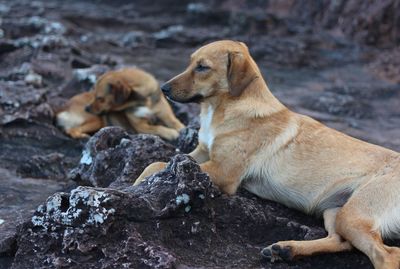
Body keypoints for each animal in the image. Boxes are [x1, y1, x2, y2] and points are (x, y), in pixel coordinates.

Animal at [56, 67, 184, 139]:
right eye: (94, 95)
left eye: (100, 98)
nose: (86, 108)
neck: (142, 102)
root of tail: (63, 109)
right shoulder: (142, 127)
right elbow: (157, 128)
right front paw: (171, 133)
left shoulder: (165, 114)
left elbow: (176, 123)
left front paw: (182, 130)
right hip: (97, 120)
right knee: (71, 130)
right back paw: (82, 136)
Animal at [134, 40, 400, 268]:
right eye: (191, 63)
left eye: (202, 67)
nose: (163, 89)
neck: (222, 108)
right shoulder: (200, 153)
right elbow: (155, 164)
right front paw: (136, 183)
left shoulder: (223, 171)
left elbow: (159, 164)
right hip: (336, 210)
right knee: (341, 242)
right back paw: (286, 250)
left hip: (353, 214)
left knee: (388, 255)